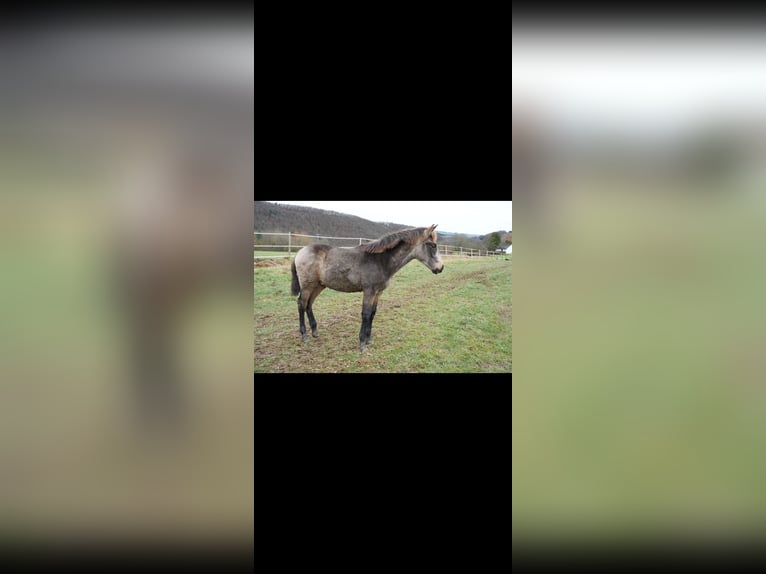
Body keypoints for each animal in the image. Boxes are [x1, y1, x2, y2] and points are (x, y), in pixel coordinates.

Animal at [290, 224, 448, 352]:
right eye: (432, 245)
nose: (440, 268)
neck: (381, 260)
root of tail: (299, 252)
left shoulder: (378, 292)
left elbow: (372, 313)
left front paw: (369, 339)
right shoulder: (369, 291)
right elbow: (365, 314)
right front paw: (362, 344)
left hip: (318, 285)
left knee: (309, 304)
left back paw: (315, 332)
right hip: (307, 286)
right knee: (301, 304)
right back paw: (304, 335)